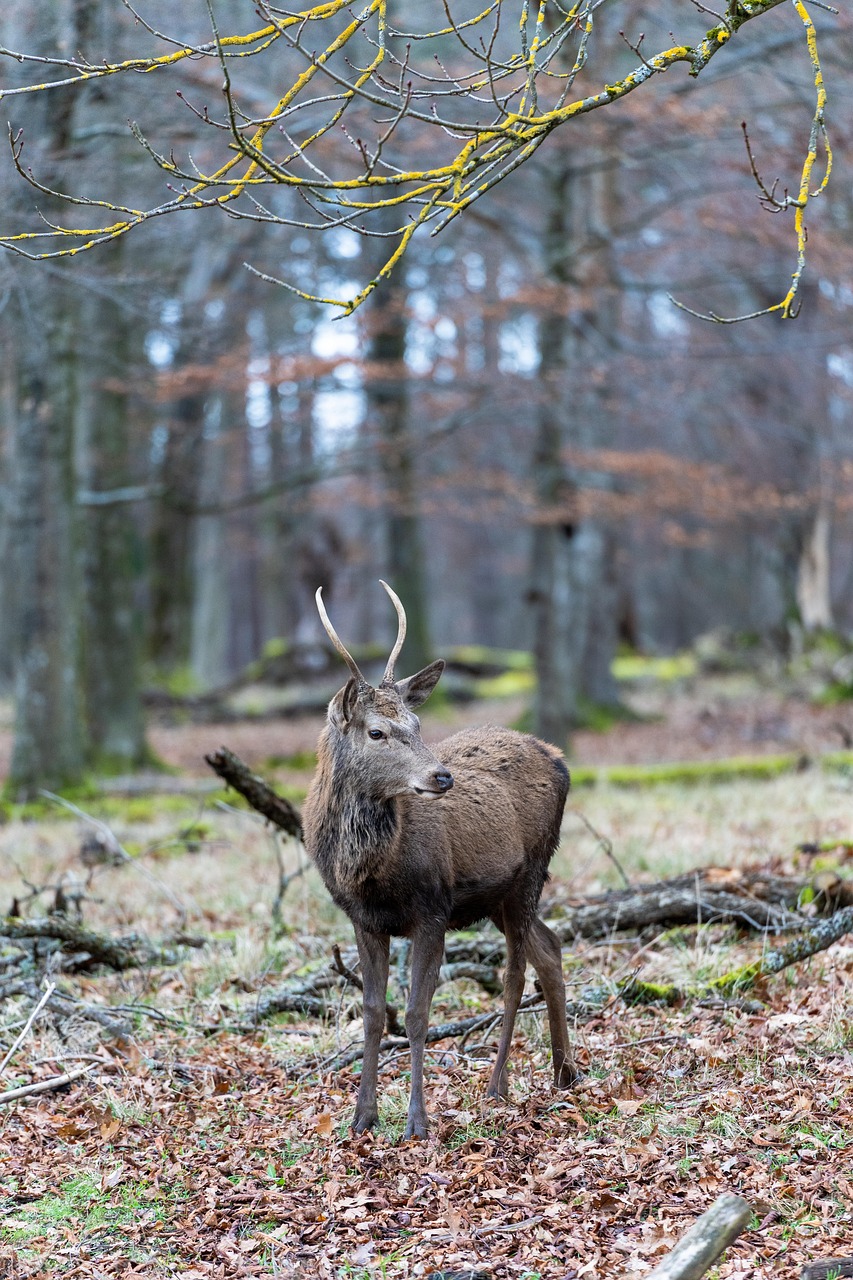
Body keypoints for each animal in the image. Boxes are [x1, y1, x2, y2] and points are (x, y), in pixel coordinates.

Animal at [300, 583, 578, 1141]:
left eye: (416, 722)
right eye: (377, 731)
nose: (441, 776)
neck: (371, 872)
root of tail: (560, 760)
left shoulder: (432, 909)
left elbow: (416, 1013)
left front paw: (417, 1122)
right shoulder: (364, 920)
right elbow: (372, 1013)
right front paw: (362, 1117)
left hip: (531, 873)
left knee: (516, 973)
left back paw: (498, 1085)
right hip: (497, 897)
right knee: (551, 948)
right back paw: (564, 1072)